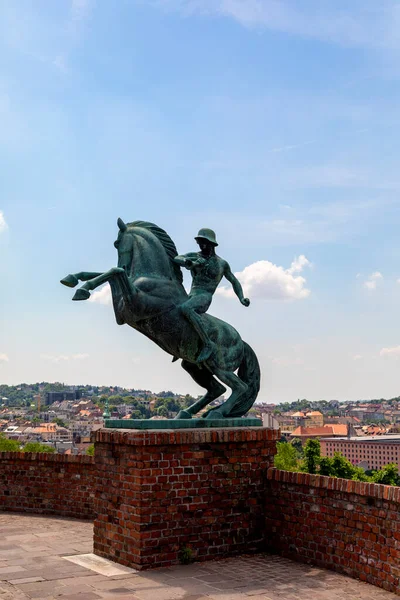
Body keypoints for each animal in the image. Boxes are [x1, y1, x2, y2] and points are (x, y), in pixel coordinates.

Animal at [58, 218, 260, 420]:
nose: (126, 266)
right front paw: (74, 279)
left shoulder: (135, 304)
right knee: (217, 389)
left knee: (239, 387)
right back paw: (187, 413)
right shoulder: (122, 314)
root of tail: (242, 341)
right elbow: (109, 273)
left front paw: (82, 288)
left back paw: (218, 412)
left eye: (116, 243)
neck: (155, 277)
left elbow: (115, 271)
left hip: (220, 365)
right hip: (194, 365)